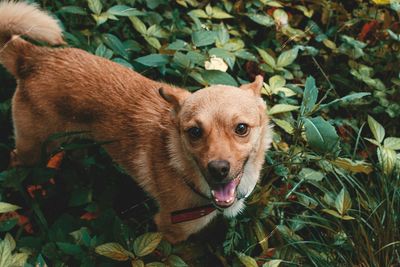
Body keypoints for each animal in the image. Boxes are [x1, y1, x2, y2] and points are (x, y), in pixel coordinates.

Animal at [0, 1, 272, 244]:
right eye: (194, 132)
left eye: (241, 128)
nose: (218, 169)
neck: (182, 167)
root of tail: (33, 56)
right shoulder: (170, 231)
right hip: (33, 150)